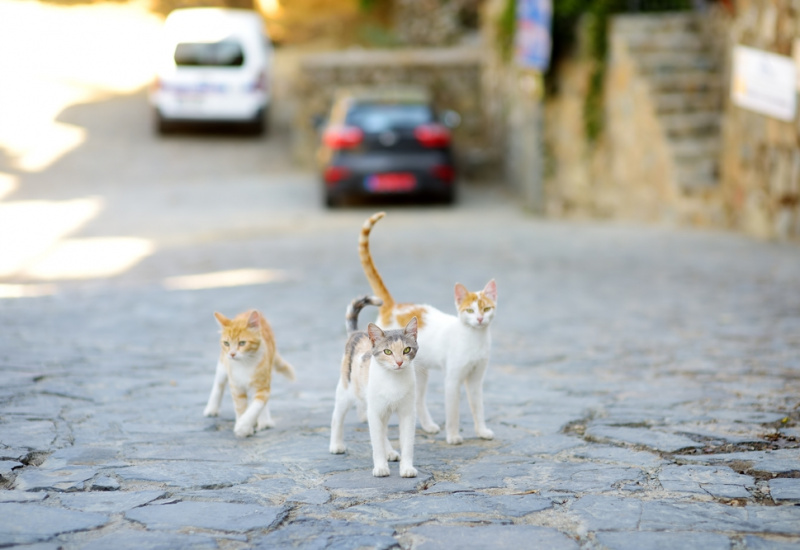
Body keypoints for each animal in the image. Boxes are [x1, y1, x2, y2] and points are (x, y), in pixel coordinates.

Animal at [205, 310, 296, 440]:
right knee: (219, 384)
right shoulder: (236, 387)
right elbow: (240, 407)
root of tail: (249, 310)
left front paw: (243, 426)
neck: (245, 363)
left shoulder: (263, 385)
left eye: (242, 343)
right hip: (222, 365)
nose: (232, 354)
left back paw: (264, 421)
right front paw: (243, 427)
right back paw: (212, 408)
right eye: (226, 343)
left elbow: (257, 405)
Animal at [330, 298, 422, 478]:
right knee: (337, 417)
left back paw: (390, 452)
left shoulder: (407, 412)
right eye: (387, 352)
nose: (399, 362)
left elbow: (407, 443)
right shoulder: (375, 411)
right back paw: (336, 445)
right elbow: (376, 443)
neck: (393, 380)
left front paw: (406, 468)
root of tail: (357, 332)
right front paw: (381, 467)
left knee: (382, 430)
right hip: (347, 392)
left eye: (406, 350)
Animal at [360, 213, 496, 446]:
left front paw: (481, 431)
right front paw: (453, 436)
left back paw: (428, 425)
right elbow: (453, 412)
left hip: (420, 372)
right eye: (470, 310)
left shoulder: (476, 379)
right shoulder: (452, 379)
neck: (475, 339)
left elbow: (478, 407)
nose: (479, 319)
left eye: (486, 309)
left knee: (418, 401)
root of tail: (393, 305)